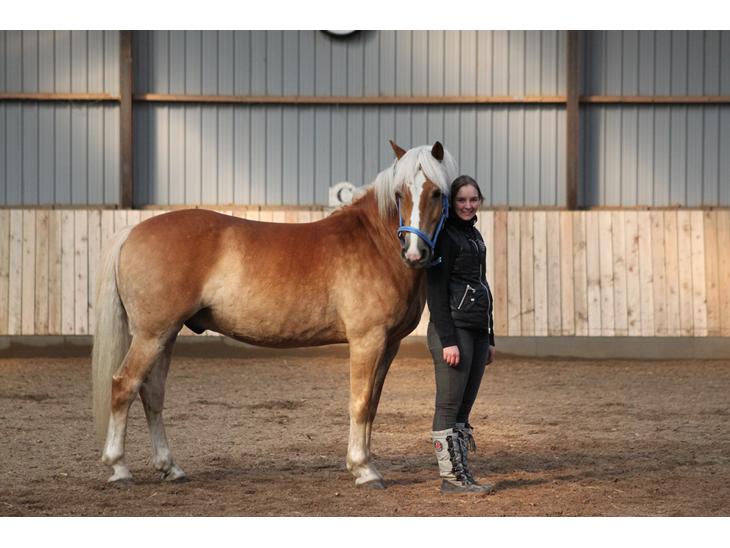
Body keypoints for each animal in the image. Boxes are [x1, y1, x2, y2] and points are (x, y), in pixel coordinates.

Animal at [91, 140, 458, 488]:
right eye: (399, 194)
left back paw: (171, 468)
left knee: (152, 392)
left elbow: (373, 405)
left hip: (164, 335)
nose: (414, 252)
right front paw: (364, 469)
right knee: (124, 385)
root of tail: (132, 232)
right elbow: (360, 402)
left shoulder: (389, 345)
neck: (375, 243)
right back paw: (119, 467)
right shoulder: (367, 341)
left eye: (436, 193)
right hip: (151, 335)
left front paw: (366, 463)